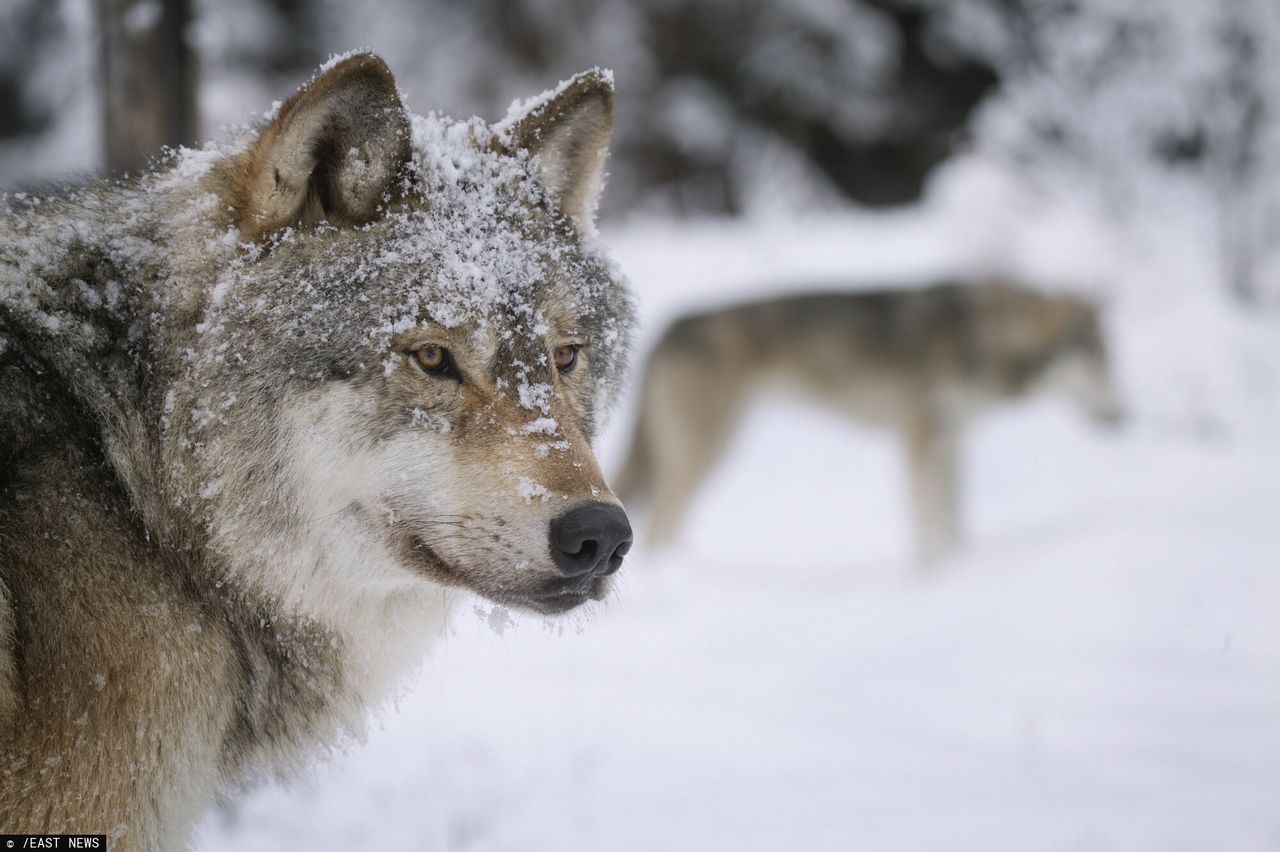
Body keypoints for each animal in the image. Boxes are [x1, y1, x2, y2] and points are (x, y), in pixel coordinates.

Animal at [614, 281, 1116, 568]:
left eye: (1109, 362)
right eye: (1095, 364)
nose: (1123, 415)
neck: (981, 335)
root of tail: (669, 329)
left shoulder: (950, 442)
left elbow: (954, 522)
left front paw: (959, 566)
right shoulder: (920, 440)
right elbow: (927, 523)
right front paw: (929, 576)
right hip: (708, 452)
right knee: (661, 526)